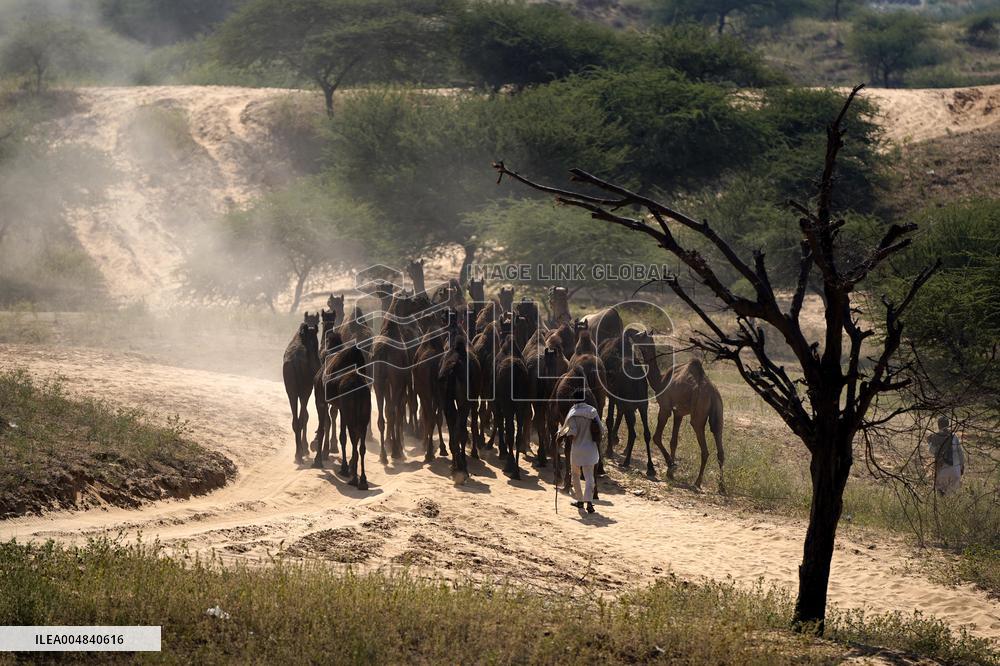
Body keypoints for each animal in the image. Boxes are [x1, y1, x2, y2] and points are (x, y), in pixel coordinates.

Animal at [282, 312, 320, 462]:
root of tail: (295, 363)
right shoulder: (308, 389)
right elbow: (305, 416)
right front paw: (305, 448)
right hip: (305, 389)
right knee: (301, 417)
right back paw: (300, 453)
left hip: (291, 390)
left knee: (295, 420)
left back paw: (297, 454)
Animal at [631, 330, 725, 490]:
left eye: (640, 335)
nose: (630, 335)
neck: (660, 380)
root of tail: (712, 393)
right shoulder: (679, 413)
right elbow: (673, 441)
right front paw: (670, 473)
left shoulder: (665, 408)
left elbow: (657, 437)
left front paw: (671, 465)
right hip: (718, 413)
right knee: (719, 445)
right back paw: (721, 487)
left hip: (698, 414)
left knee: (704, 449)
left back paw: (697, 482)